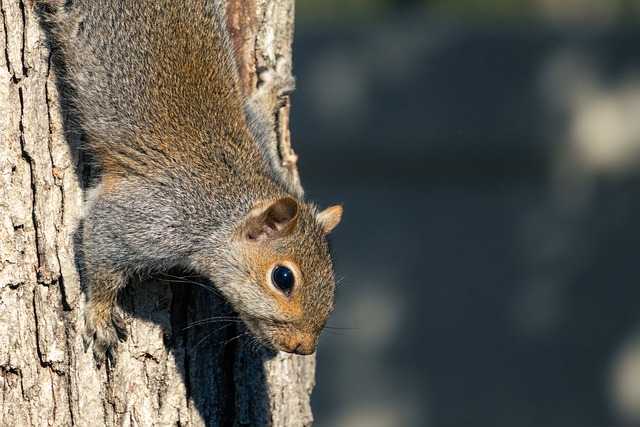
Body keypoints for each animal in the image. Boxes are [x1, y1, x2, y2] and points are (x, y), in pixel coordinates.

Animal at [35, 0, 342, 362]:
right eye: (283, 278)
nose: (304, 348)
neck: (230, 203)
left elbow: (257, 116)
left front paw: (272, 91)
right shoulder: (156, 215)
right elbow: (102, 242)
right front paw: (100, 313)